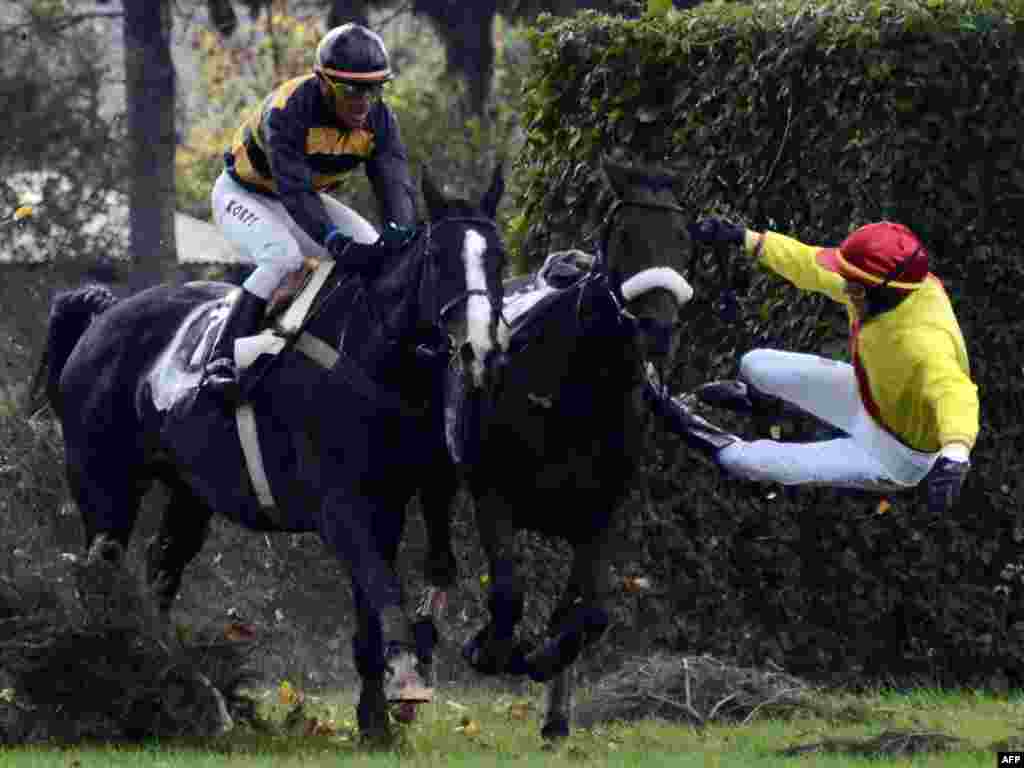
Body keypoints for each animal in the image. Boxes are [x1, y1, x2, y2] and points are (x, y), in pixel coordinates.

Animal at [32, 165, 507, 741]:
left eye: (499, 259)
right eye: (439, 259)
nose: (481, 349)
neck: (377, 359)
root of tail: (103, 317)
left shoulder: (393, 504)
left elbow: (381, 605)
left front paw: (376, 718)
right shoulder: (341, 511)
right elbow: (383, 590)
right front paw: (406, 681)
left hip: (188, 493)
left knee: (160, 573)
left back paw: (193, 696)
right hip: (104, 486)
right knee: (102, 578)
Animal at [419, 163, 692, 741]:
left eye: (684, 240)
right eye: (623, 236)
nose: (658, 331)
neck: (575, 389)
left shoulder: (601, 511)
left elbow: (588, 615)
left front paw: (545, 663)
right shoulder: (493, 492)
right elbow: (507, 594)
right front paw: (488, 649)